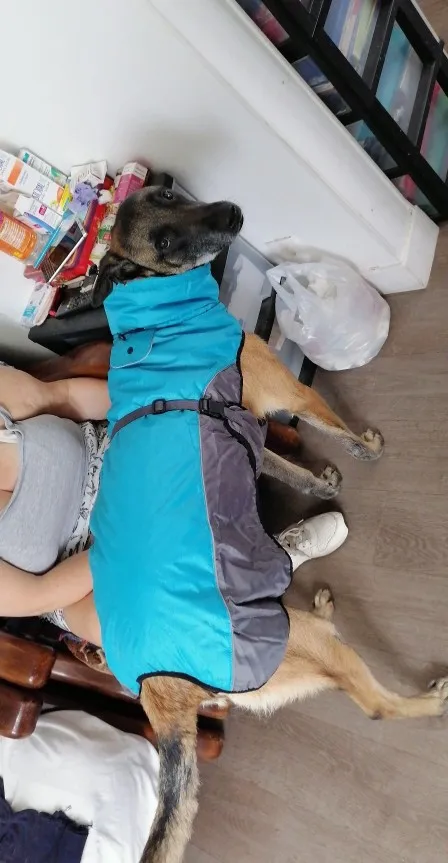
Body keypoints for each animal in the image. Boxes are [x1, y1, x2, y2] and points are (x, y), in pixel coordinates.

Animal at [92, 186, 448, 863]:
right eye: (165, 242)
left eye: (170, 194)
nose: (231, 214)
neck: (154, 312)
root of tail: (161, 696)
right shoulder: (288, 394)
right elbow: (330, 420)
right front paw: (365, 448)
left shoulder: (252, 426)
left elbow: (296, 472)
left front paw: (328, 480)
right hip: (303, 646)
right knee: (374, 704)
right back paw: (432, 700)